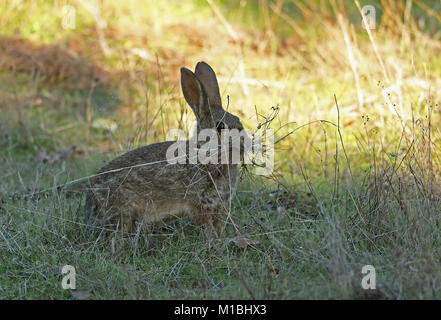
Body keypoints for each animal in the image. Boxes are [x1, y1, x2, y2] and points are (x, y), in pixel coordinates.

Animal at [84, 61, 246, 236]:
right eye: (220, 126)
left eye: (238, 120)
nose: (246, 144)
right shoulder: (198, 203)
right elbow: (207, 226)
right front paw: (214, 240)